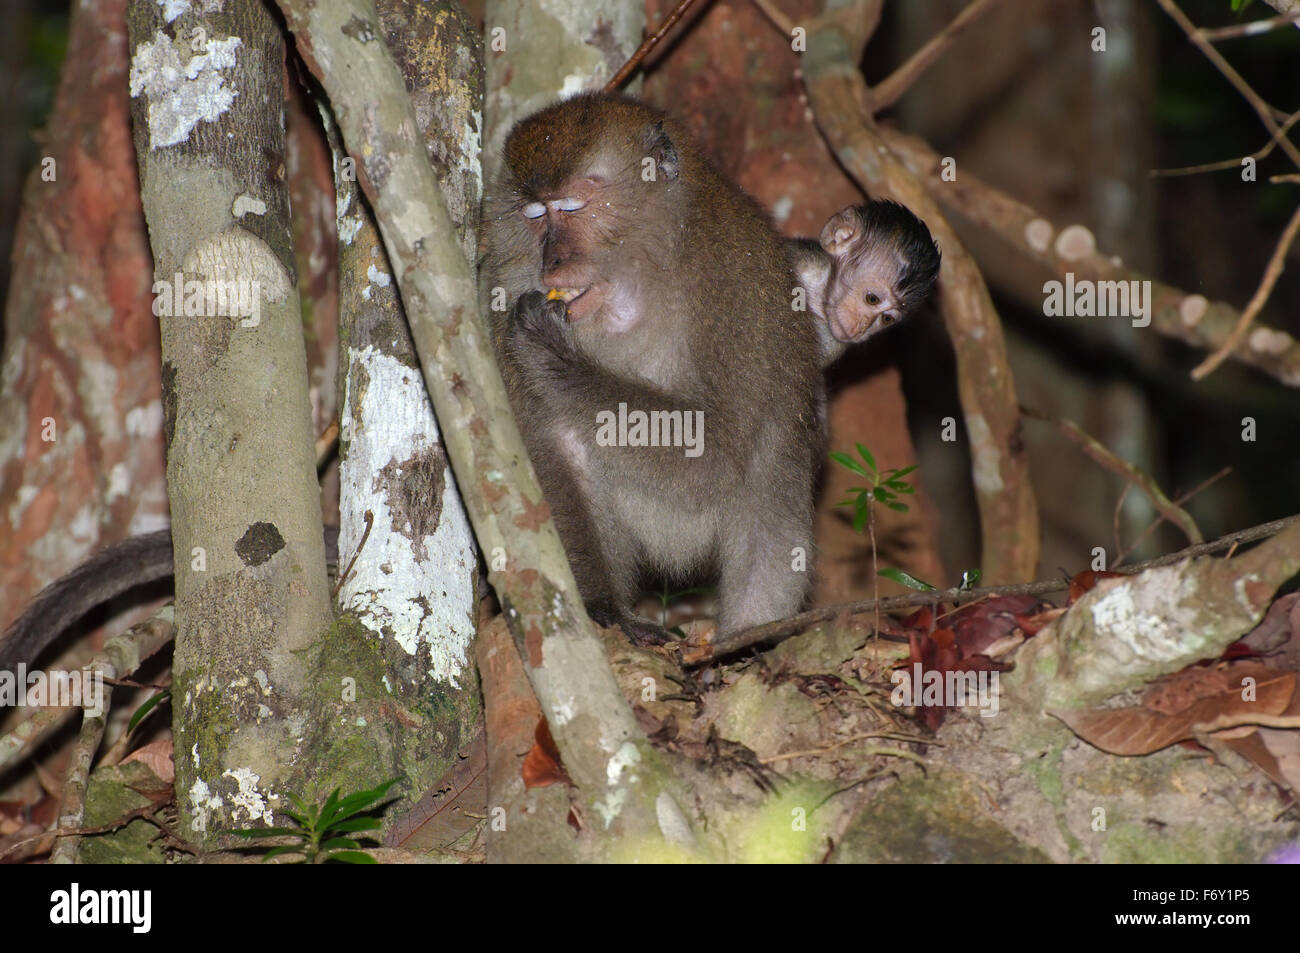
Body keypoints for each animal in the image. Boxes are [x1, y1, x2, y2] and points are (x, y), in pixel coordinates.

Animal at [481, 92, 823, 643]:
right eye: (535, 215)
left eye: (573, 207)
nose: (552, 262)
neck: (636, 278)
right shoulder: (498, 302)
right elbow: (545, 451)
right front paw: (602, 607)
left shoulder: (734, 278)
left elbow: (719, 450)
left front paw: (556, 355)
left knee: (769, 460)